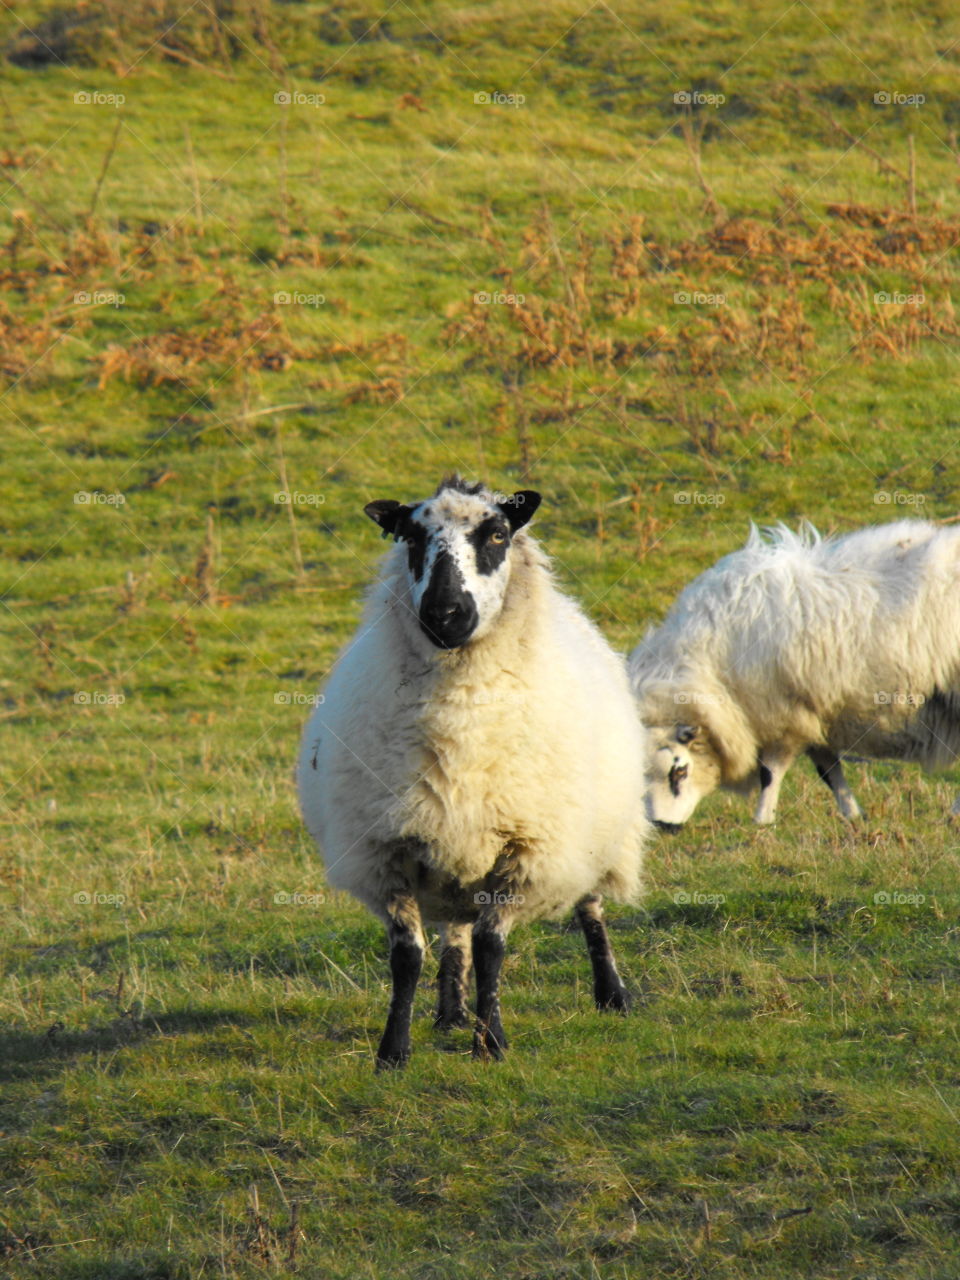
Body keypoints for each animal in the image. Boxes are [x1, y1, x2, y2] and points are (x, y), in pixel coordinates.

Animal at [296, 476, 650, 1064]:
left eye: (497, 533)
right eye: (411, 536)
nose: (444, 614)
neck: (458, 716)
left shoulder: (525, 849)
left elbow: (491, 948)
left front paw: (493, 1043)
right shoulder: (388, 851)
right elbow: (408, 956)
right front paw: (393, 1050)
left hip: (590, 836)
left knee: (590, 909)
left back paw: (611, 994)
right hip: (452, 854)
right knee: (454, 934)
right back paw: (452, 1011)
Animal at [627, 519, 960, 829]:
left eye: (679, 770)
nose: (662, 825)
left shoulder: (782, 717)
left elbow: (770, 773)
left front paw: (762, 820)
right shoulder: (816, 714)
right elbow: (828, 770)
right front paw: (853, 814)